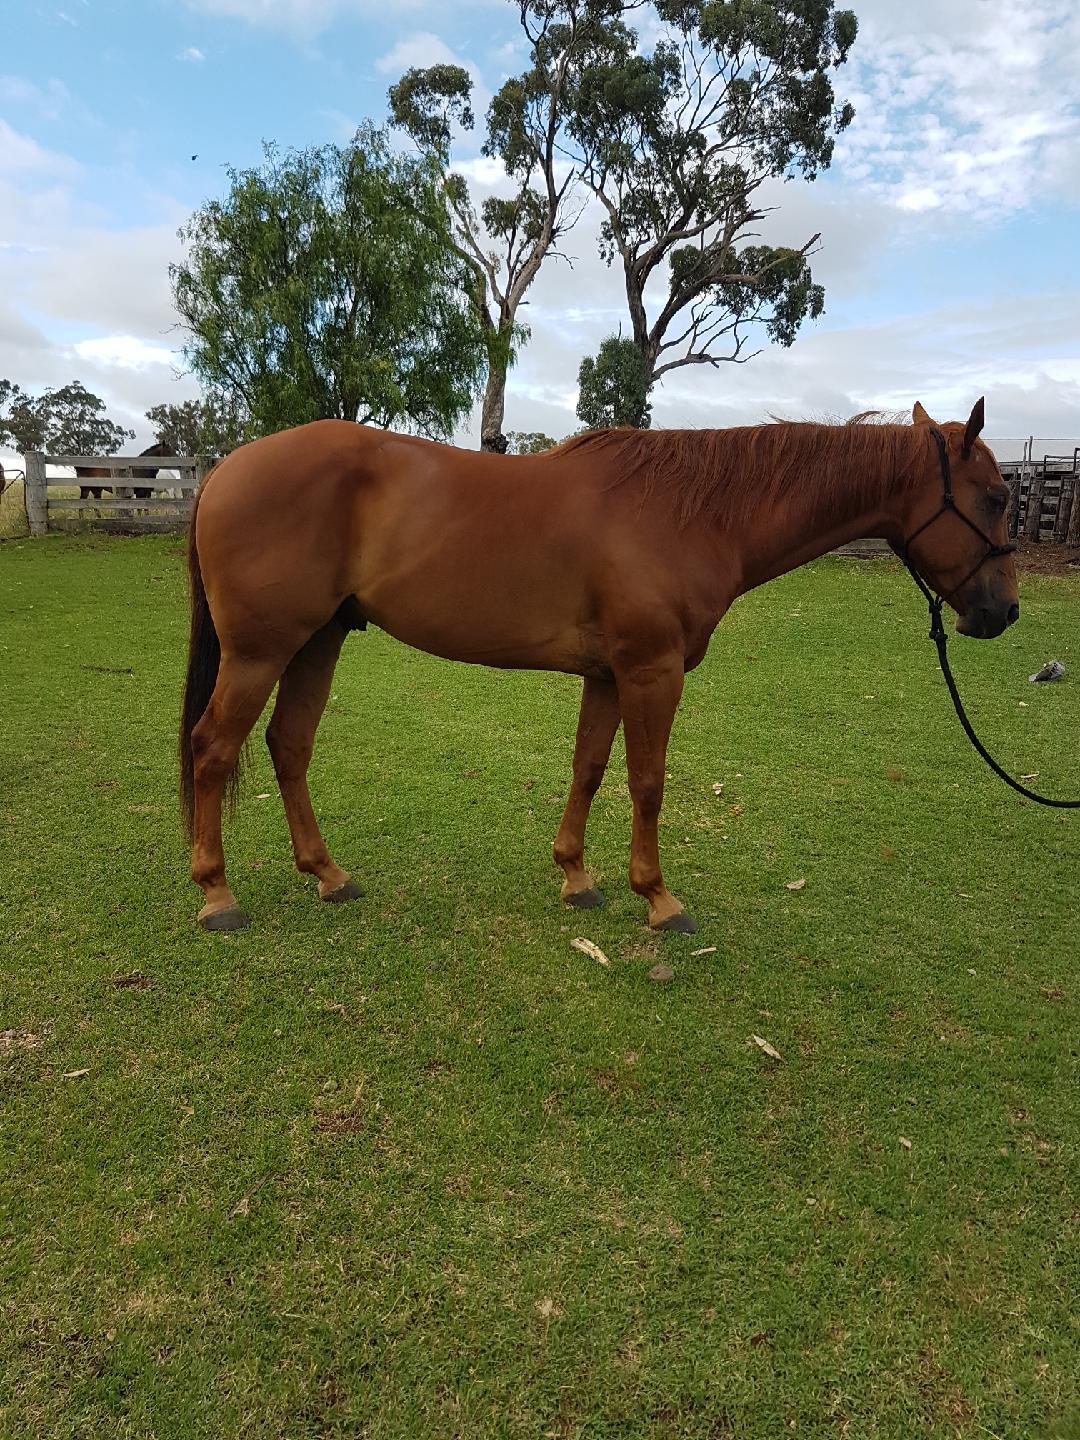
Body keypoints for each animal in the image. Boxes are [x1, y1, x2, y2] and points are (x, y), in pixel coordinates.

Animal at [179, 398, 1019, 934]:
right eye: (996, 496)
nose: (1003, 613)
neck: (693, 512)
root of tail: (225, 468)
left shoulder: (609, 676)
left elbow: (588, 767)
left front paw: (577, 878)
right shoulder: (653, 671)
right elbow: (646, 782)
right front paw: (659, 899)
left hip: (318, 640)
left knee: (288, 746)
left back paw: (329, 876)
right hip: (261, 651)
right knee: (214, 751)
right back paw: (218, 897)